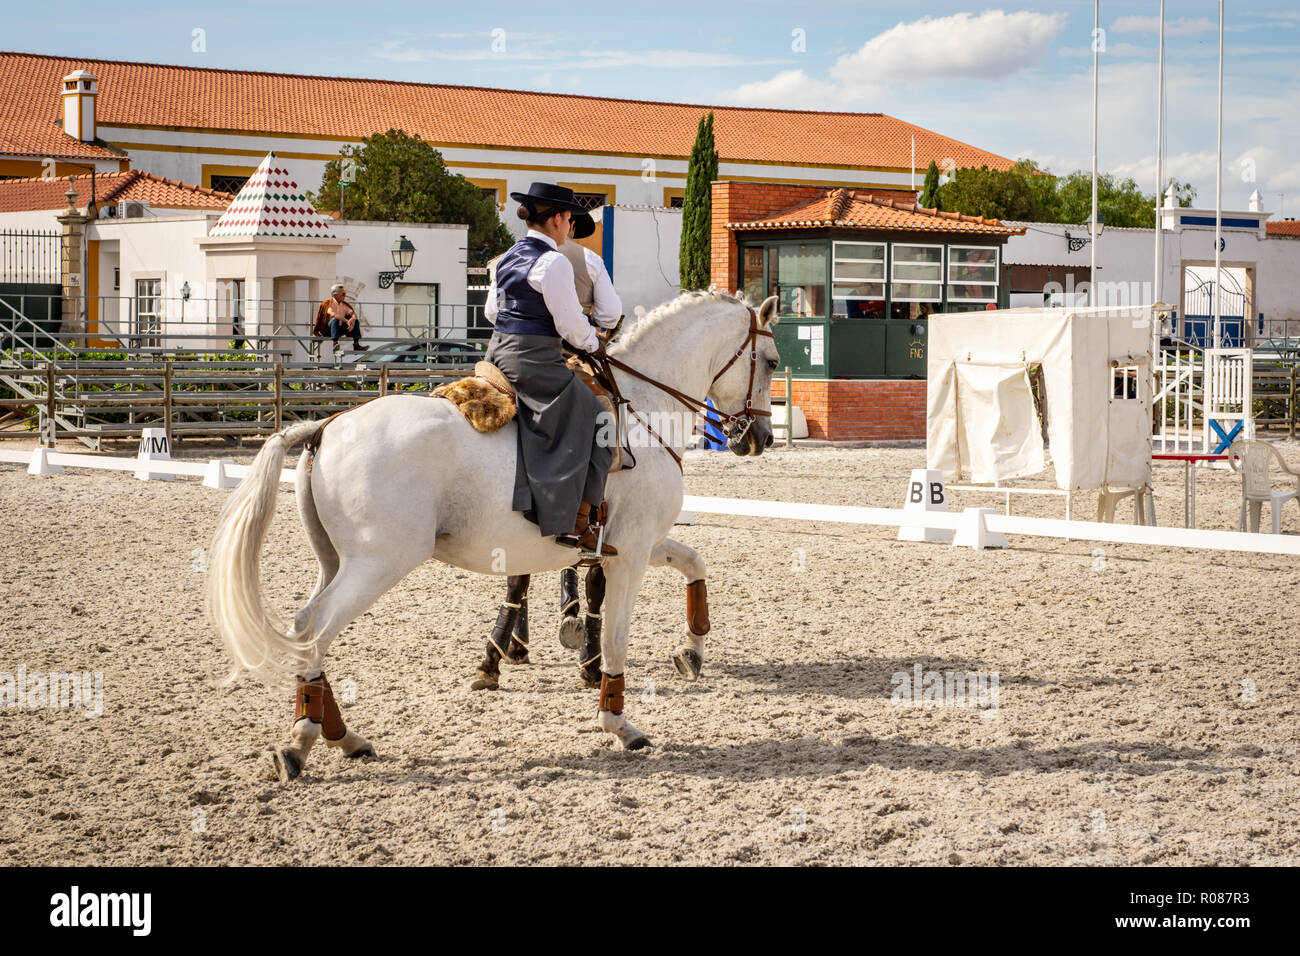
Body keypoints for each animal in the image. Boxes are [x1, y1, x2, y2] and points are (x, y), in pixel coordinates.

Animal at [206, 290, 774, 780]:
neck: (639, 408)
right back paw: (302, 743)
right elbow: (615, 639)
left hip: (335, 562)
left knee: (305, 624)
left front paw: (693, 651)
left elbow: (694, 563)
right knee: (316, 631)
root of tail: (325, 428)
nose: (760, 438)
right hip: (377, 564)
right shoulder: (628, 554)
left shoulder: (633, 545)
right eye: (770, 360)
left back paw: (343, 738)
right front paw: (619, 725)